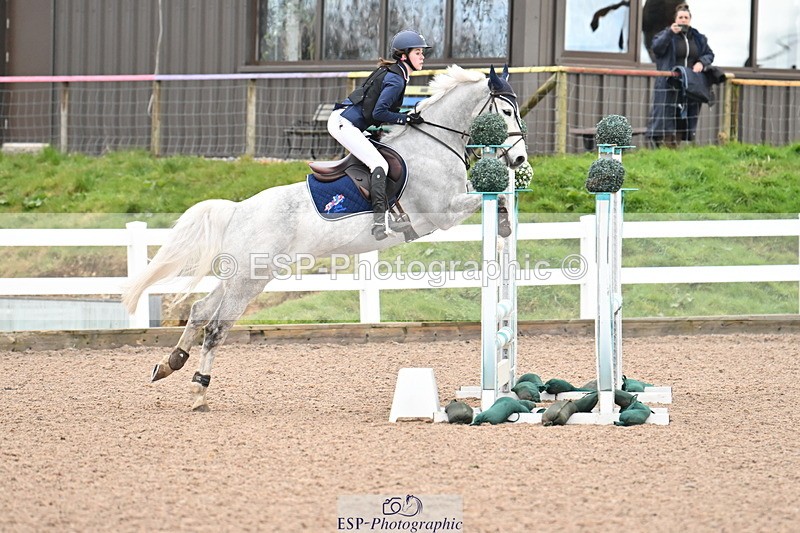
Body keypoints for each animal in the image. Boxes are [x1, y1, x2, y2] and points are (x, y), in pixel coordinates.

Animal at [122, 64, 529, 411]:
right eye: (507, 113)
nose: (520, 161)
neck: (434, 145)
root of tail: (237, 210)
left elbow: (497, 199)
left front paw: (506, 224)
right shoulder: (442, 211)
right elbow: (490, 198)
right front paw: (506, 219)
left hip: (242, 275)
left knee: (200, 311)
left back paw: (169, 364)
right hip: (250, 279)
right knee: (216, 326)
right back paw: (198, 391)